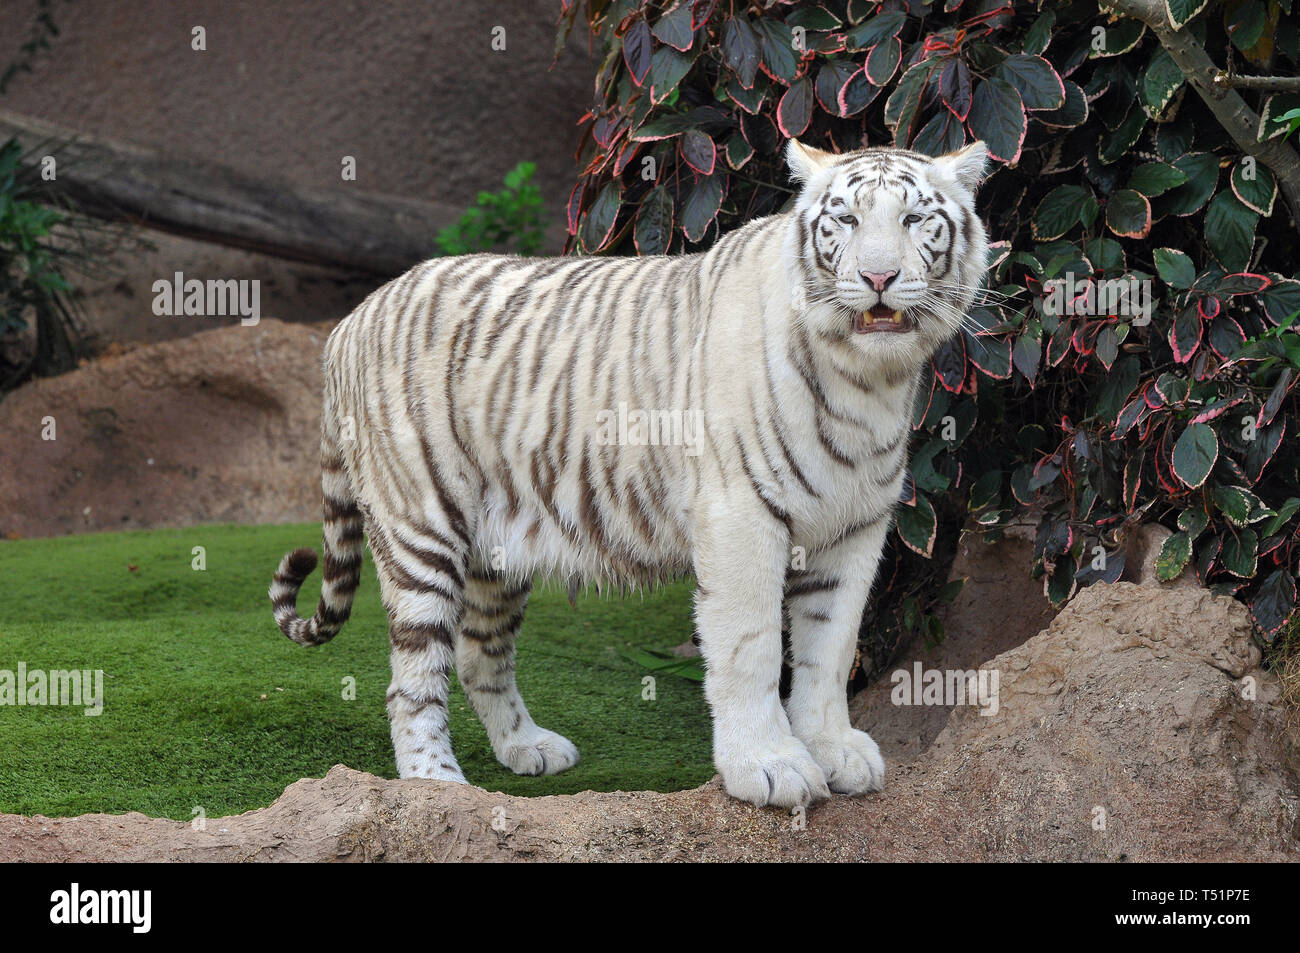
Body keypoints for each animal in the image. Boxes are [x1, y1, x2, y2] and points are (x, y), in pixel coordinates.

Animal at [269, 137, 987, 806]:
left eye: (916, 219)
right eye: (844, 220)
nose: (879, 276)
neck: (867, 381)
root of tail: (350, 319)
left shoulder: (856, 527)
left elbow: (828, 651)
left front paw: (835, 750)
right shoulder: (741, 517)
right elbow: (751, 648)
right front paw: (769, 766)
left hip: (497, 546)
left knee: (479, 655)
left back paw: (527, 747)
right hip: (421, 526)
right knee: (409, 681)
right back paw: (436, 787)